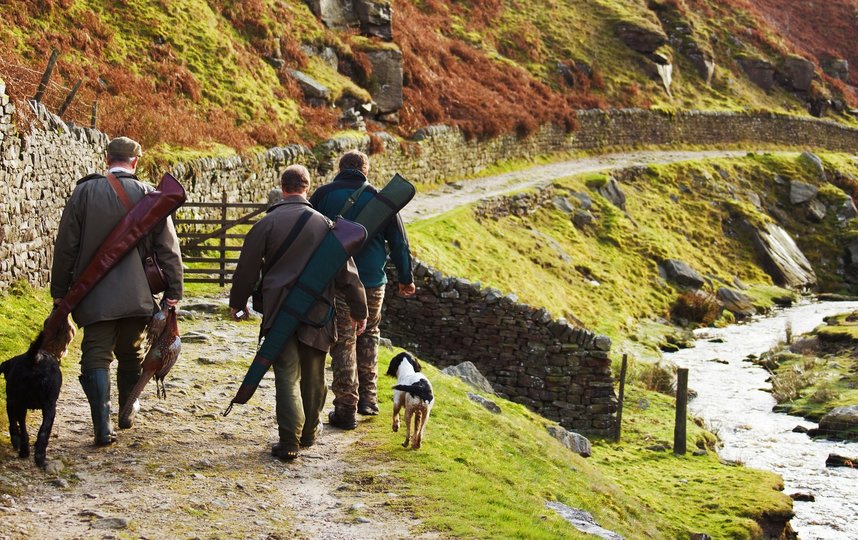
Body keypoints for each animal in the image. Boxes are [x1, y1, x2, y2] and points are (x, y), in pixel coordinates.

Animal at [0, 318, 73, 466]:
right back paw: (39, 455)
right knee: (43, 431)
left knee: (24, 429)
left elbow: (13, 424)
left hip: (20, 402)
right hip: (49, 406)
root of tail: (34, 358)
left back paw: (25, 451)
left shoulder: (10, 402)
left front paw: (15, 440)